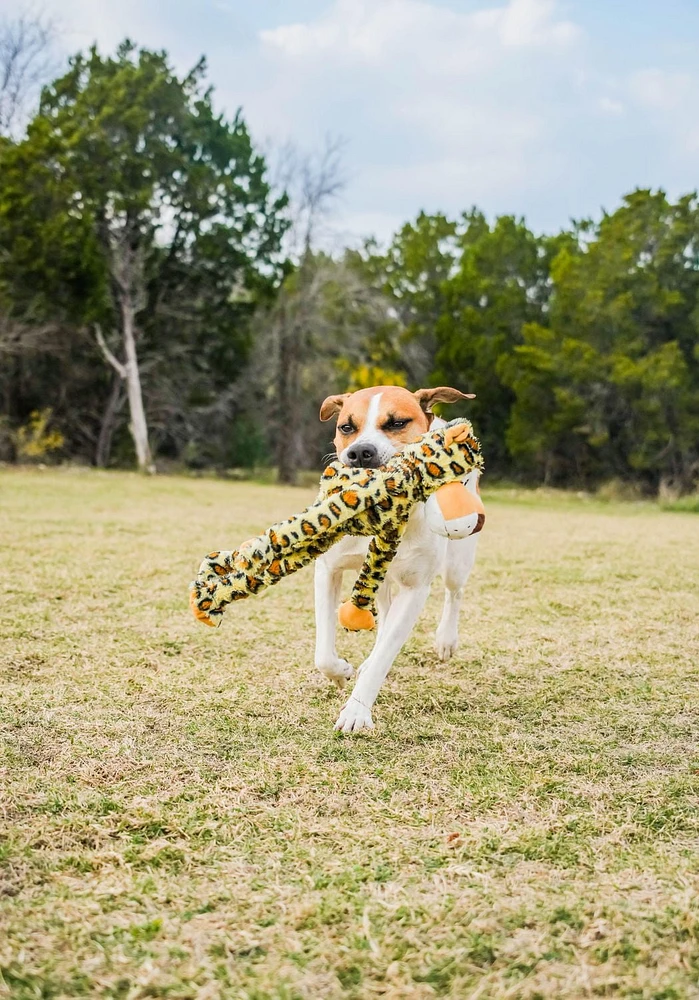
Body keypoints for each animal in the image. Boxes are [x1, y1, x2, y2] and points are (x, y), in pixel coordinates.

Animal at [316, 386, 482, 732]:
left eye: (396, 423)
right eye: (346, 427)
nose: (359, 452)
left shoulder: (416, 589)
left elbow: (388, 651)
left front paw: (357, 712)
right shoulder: (327, 568)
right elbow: (323, 653)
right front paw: (340, 671)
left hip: (459, 557)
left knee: (454, 592)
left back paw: (446, 639)